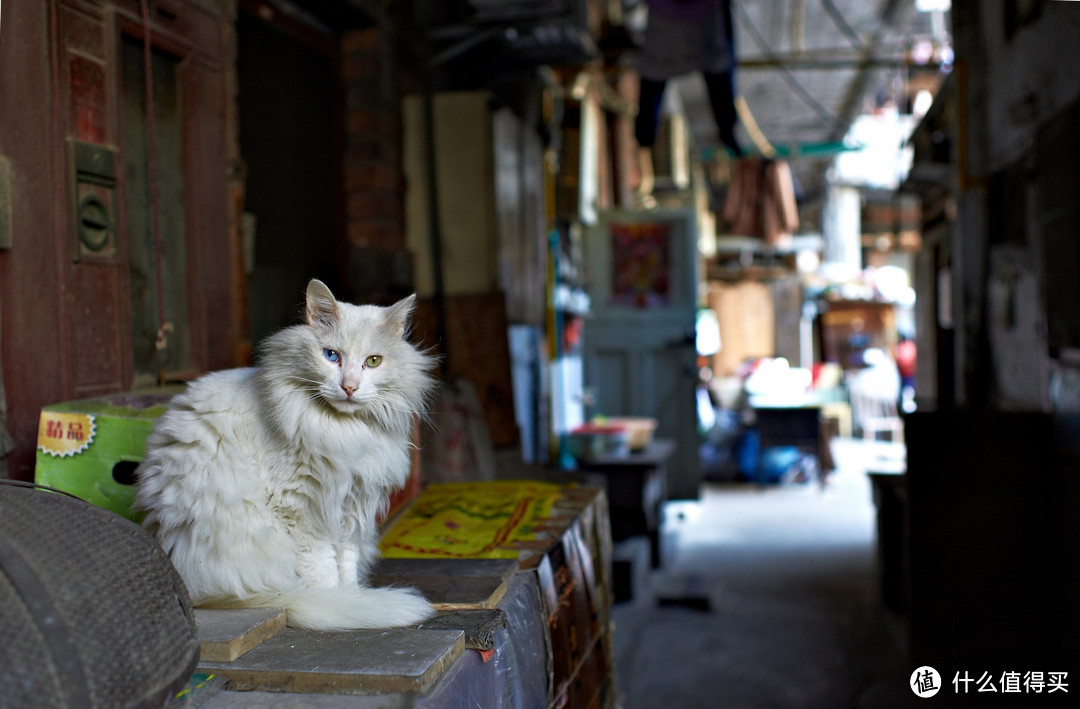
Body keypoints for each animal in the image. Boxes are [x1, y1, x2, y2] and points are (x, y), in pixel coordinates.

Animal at [132, 278, 436, 626]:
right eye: (331, 355)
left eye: (373, 361)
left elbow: (346, 564)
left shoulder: (349, 509)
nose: (349, 387)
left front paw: (354, 595)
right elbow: (323, 571)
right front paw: (341, 602)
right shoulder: (301, 511)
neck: (342, 431)